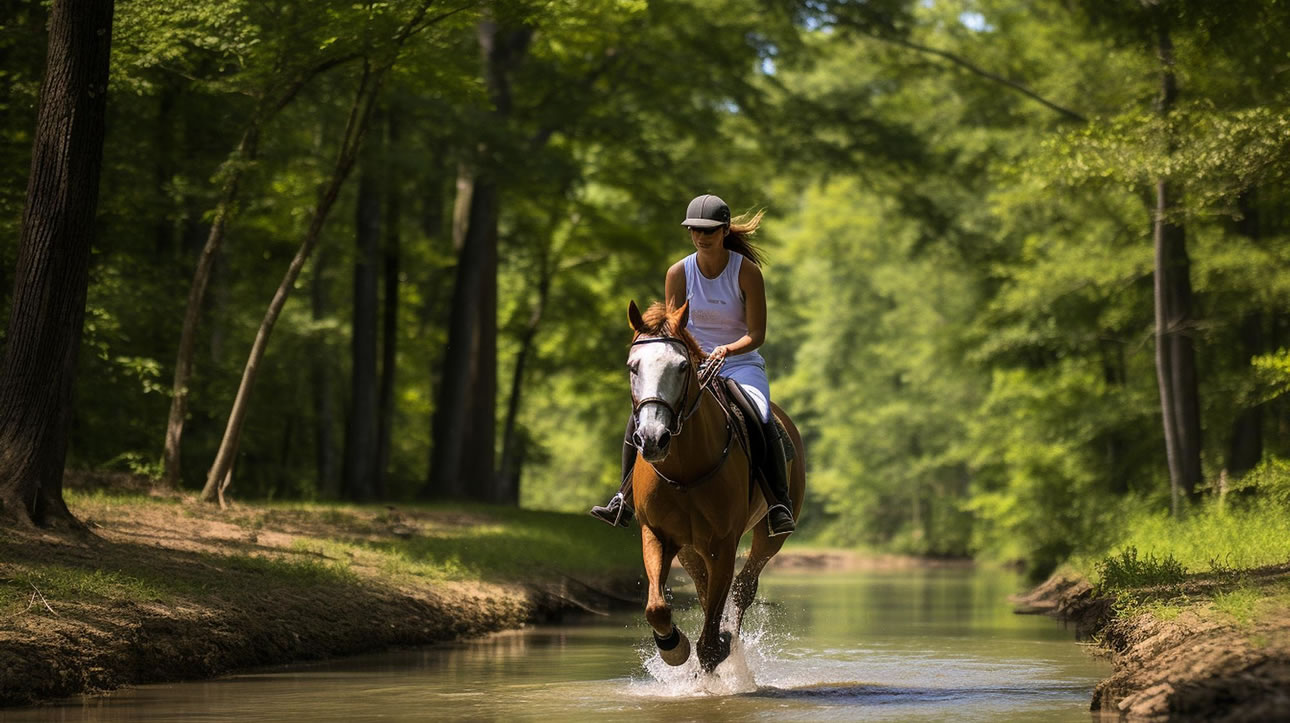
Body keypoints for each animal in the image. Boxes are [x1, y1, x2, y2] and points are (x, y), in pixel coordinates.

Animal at [624, 299, 804, 671]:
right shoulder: (657, 533)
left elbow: (709, 644)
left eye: (682, 367)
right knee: (704, 587)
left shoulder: (724, 542)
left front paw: (717, 649)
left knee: (743, 587)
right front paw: (673, 647)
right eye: (633, 367)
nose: (652, 439)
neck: (685, 469)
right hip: (691, 547)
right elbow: (657, 607)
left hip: (770, 536)